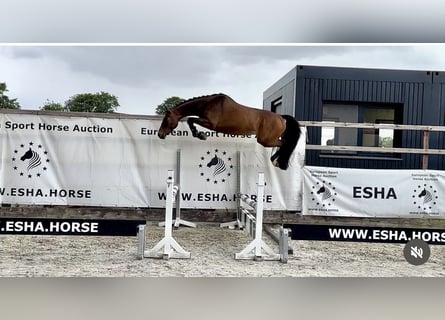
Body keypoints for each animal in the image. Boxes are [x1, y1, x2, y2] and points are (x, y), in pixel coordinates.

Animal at [157, 92, 302, 170]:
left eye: (166, 120)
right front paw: (200, 134)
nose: (160, 134)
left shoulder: (210, 123)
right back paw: (275, 161)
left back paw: (277, 161)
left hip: (265, 140)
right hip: (268, 140)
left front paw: (200, 135)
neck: (207, 104)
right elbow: (190, 120)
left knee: (285, 143)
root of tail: (281, 117)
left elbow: (190, 120)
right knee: (284, 142)